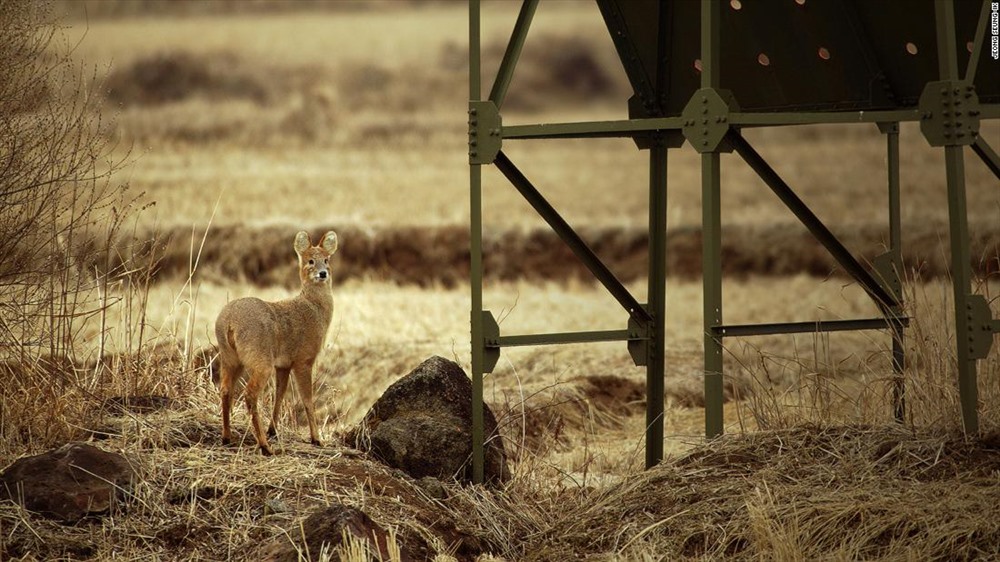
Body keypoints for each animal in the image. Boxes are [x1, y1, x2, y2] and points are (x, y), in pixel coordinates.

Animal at [213, 230, 338, 452]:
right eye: (310, 260)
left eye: (326, 259)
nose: (323, 273)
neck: (315, 310)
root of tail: (229, 322)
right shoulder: (304, 359)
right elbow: (307, 398)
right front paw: (316, 438)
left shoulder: (283, 364)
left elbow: (280, 393)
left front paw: (273, 430)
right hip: (260, 360)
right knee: (250, 394)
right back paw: (264, 447)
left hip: (231, 358)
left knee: (226, 390)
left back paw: (227, 437)